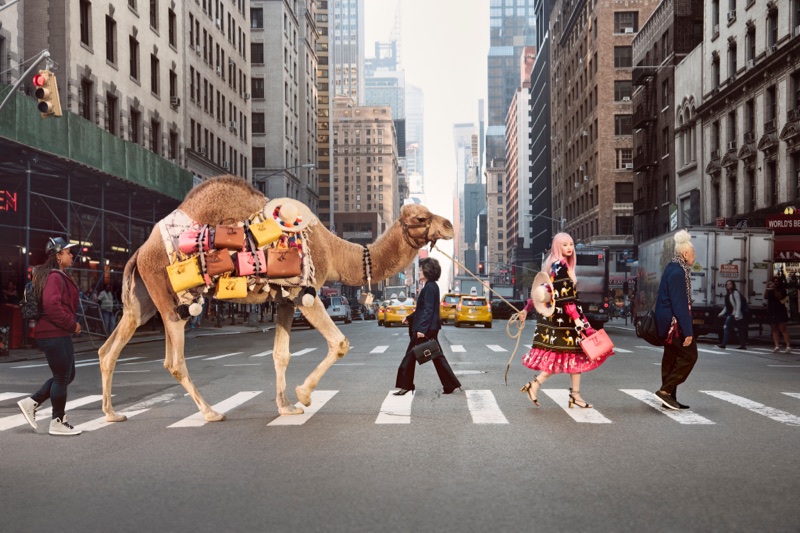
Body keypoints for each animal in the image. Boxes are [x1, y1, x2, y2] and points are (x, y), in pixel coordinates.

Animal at [97, 177, 454, 422]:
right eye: (421, 219)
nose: (449, 225)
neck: (332, 251)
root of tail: (140, 251)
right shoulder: (305, 292)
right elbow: (339, 343)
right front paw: (304, 396)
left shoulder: (284, 299)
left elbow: (280, 354)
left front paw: (286, 406)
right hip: (171, 298)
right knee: (173, 360)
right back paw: (211, 412)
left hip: (142, 299)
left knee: (109, 348)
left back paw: (113, 413)